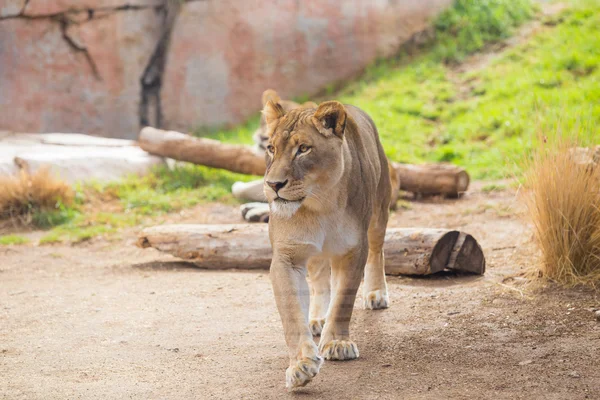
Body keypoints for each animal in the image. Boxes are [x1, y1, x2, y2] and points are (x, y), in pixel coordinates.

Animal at [262, 98, 392, 390]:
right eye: (271, 148)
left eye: (303, 149)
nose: (273, 184)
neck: (318, 204)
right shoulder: (287, 257)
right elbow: (292, 315)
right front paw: (300, 366)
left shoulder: (353, 251)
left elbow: (343, 300)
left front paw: (337, 344)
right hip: (316, 253)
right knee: (320, 277)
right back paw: (318, 318)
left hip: (380, 210)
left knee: (377, 251)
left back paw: (376, 293)